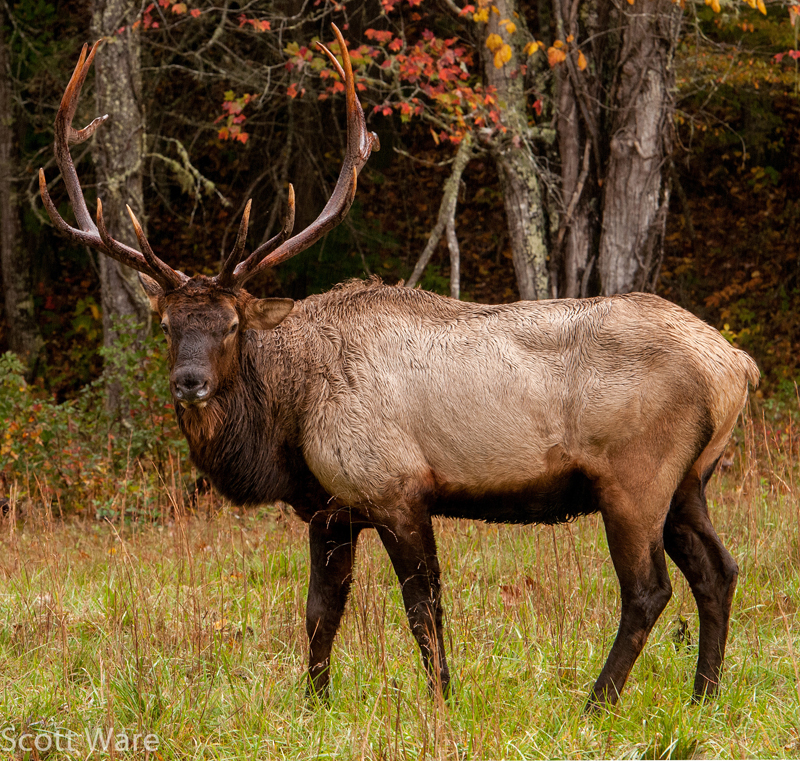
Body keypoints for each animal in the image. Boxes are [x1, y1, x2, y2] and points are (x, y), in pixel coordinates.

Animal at [41, 28, 759, 710]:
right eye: (168, 326)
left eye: (231, 326)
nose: (188, 382)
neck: (289, 423)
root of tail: (735, 365)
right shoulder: (330, 511)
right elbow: (319, 612)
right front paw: (316, 702)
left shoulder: (396, 488)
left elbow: (424, 611)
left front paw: (442, 699)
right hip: (689, 480)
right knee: (718, 570)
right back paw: (704, 695)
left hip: (635, 476)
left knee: (648, 589)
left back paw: (596, 702)